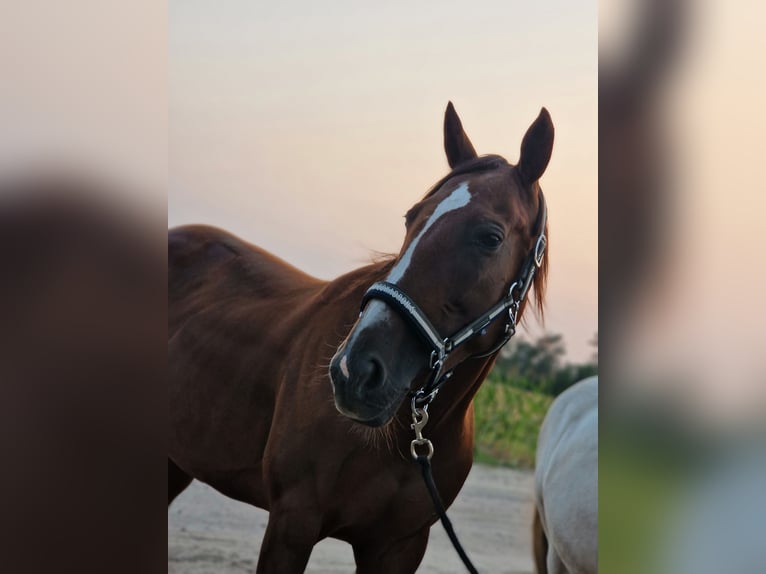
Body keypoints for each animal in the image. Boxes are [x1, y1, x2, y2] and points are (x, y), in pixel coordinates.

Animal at [168, 101, 554, 573]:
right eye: (411, 218)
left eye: (491, 237)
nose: (354, 371)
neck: (400, 442)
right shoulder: (292, 522)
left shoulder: (398, 547)